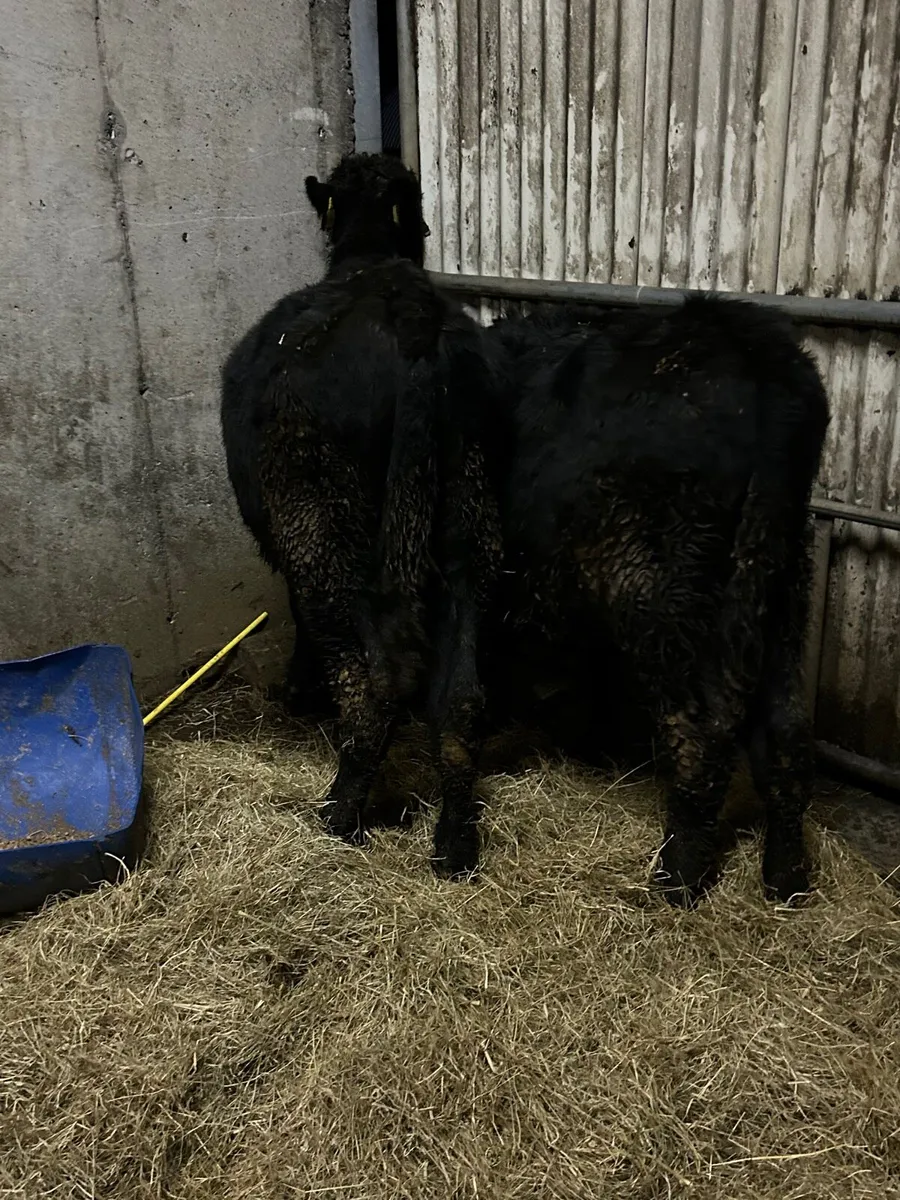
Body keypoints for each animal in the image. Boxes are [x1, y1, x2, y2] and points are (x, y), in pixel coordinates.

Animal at [220, 153, 505, 877]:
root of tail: (410, 316)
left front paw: (297, 690)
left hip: (323, 523)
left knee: (372, 682)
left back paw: (339, 814)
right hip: (468, 514)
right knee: (461, 694)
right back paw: (454, 842)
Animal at [483, 297, 829, 905]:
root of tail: (749, 344)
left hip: (659, 591)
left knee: (700, 732)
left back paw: (678, 877)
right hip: (783, 581)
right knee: (786, 736)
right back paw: (786, 880)